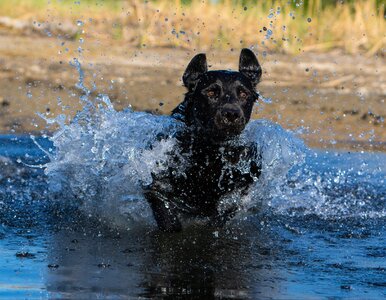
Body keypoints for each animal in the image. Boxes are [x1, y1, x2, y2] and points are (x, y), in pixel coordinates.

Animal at [145, 48, 262, 232]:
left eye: (243, 93)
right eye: (211, 92)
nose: (231, 114)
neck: (210, 151)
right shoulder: (158, 184)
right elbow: (167, 216)